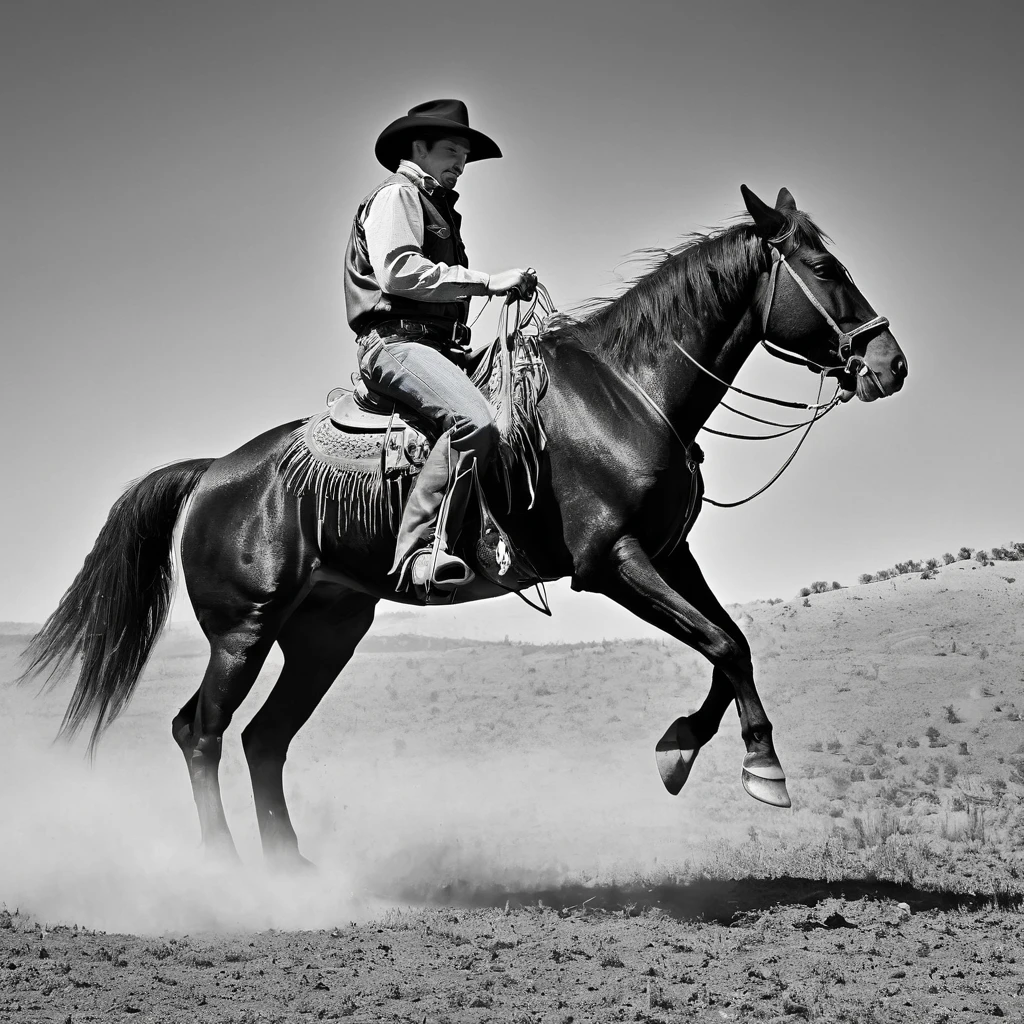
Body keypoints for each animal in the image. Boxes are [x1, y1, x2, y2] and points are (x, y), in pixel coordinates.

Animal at [22, 184, 905, 864]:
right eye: (824, 268)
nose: (889, 364)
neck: (626, 391)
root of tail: (212, 473)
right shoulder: (612, 561)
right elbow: (721, 642)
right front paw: (757, 769)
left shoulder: (667, 551)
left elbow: (734, 642)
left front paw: (683, 748)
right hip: (243, 630)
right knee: (199, 732)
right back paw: (227, 869)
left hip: (324, 632)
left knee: (263, 740)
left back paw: (292, 869)